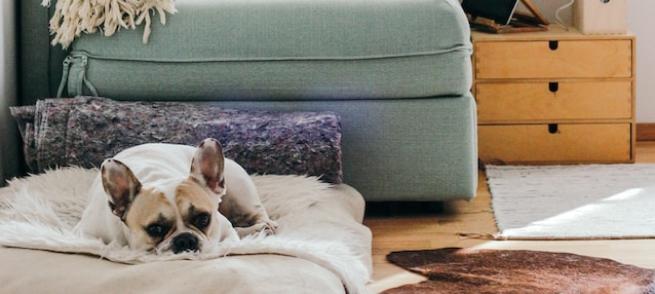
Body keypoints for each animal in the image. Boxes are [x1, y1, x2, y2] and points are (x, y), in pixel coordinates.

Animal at [76, 139, 276, 254]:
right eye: (155, 229)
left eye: (203, 219)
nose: (185, 239)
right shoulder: (86, 234)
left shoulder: (224, 228)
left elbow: (230, 236)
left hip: (242, 194)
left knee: (257, 214)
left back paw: (263, 227)